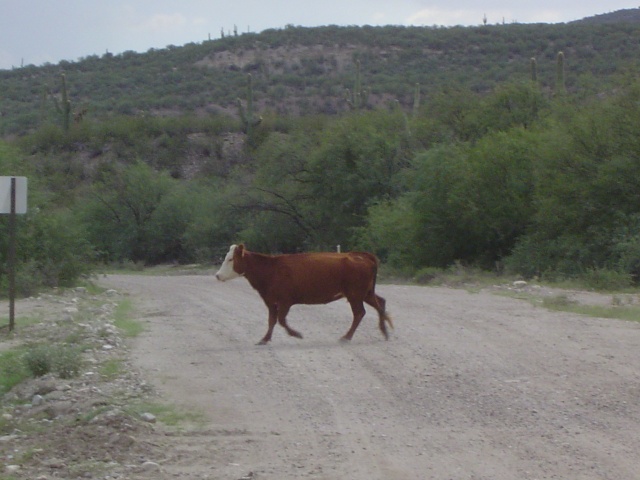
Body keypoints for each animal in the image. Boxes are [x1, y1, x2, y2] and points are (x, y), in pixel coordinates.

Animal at [215, 244, 393, 345]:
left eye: (230, 259)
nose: (217, 275)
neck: (270, 270)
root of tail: (361, 255)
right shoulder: (270, 301)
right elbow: (272, 320)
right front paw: (264, 339)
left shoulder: (285, 301)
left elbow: (281, 320)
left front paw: (296, 334)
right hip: (366, 293)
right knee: (381, 303)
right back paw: (384, 331)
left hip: (355, 294)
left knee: (359, 313)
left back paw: (347, 337)